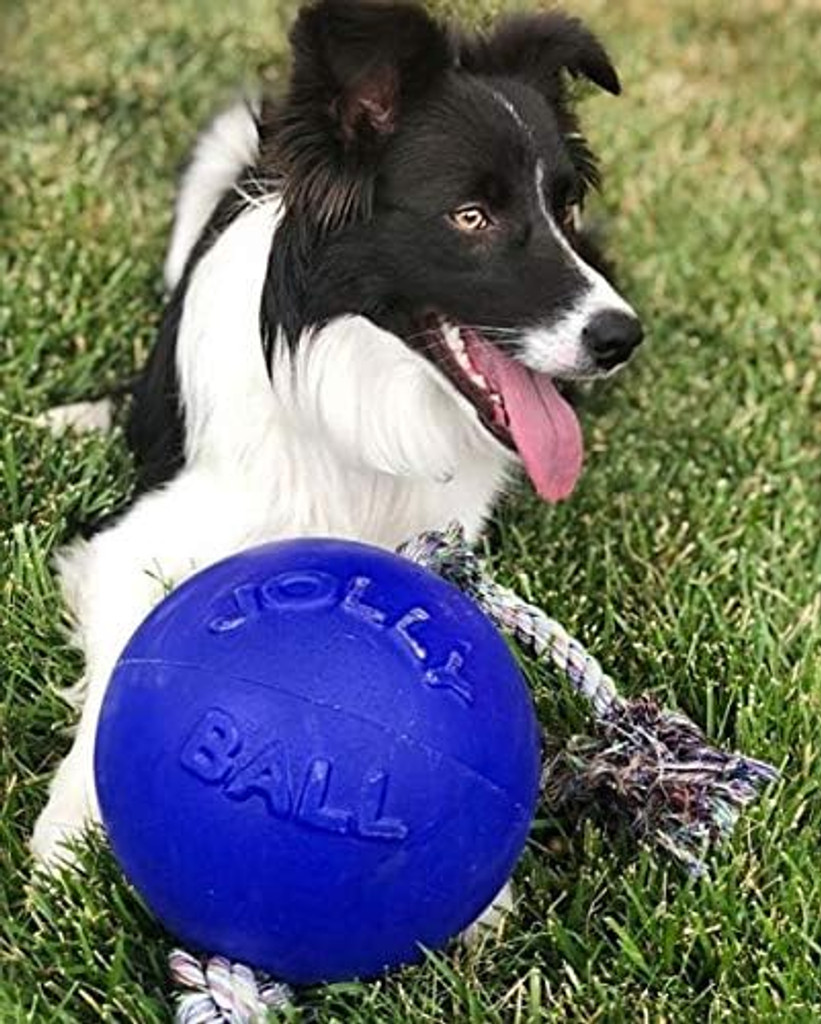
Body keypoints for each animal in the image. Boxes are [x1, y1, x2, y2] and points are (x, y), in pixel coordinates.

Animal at [33, 0, 638, 937]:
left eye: (564, 205)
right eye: (471, 216)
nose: (620, 337)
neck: (359, 398)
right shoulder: (134, 543)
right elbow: (119, 666)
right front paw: (65, 832)